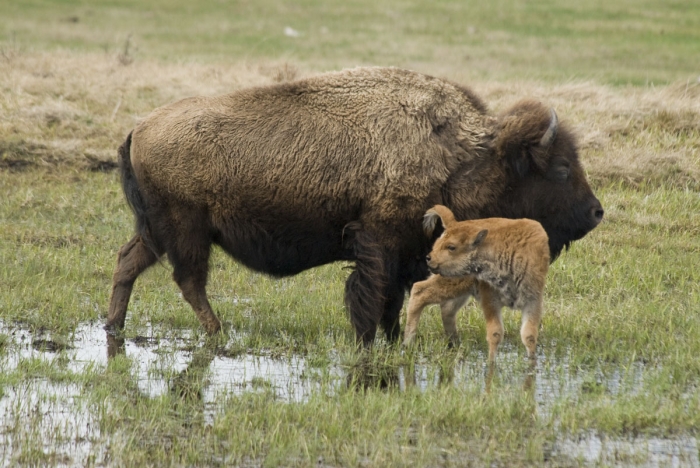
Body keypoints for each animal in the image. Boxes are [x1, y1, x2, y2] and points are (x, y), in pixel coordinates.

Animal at [106, 66, 604, 344]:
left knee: (129, 262)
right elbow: (372, 294)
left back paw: (115, 325)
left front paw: (391, 338)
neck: (464, 153)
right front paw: (367, 341)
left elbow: (393, 298)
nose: (596, 212)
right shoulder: (379, 244)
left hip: (156, 230)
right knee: (188, 279)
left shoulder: (407, 253)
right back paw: (216, 331)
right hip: (185, 229)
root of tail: (138, 128)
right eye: (561, 168)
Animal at [402, 203, 548, 360]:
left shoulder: (533, 301)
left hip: (460, 289)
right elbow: (495, 333)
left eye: (451, 247)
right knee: (419, 291)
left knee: (446, 308)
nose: (429, 258)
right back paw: (408, 343)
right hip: (452, 282)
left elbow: (529, 335)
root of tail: (454, 223)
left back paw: (454, 343)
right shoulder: (490, 300)